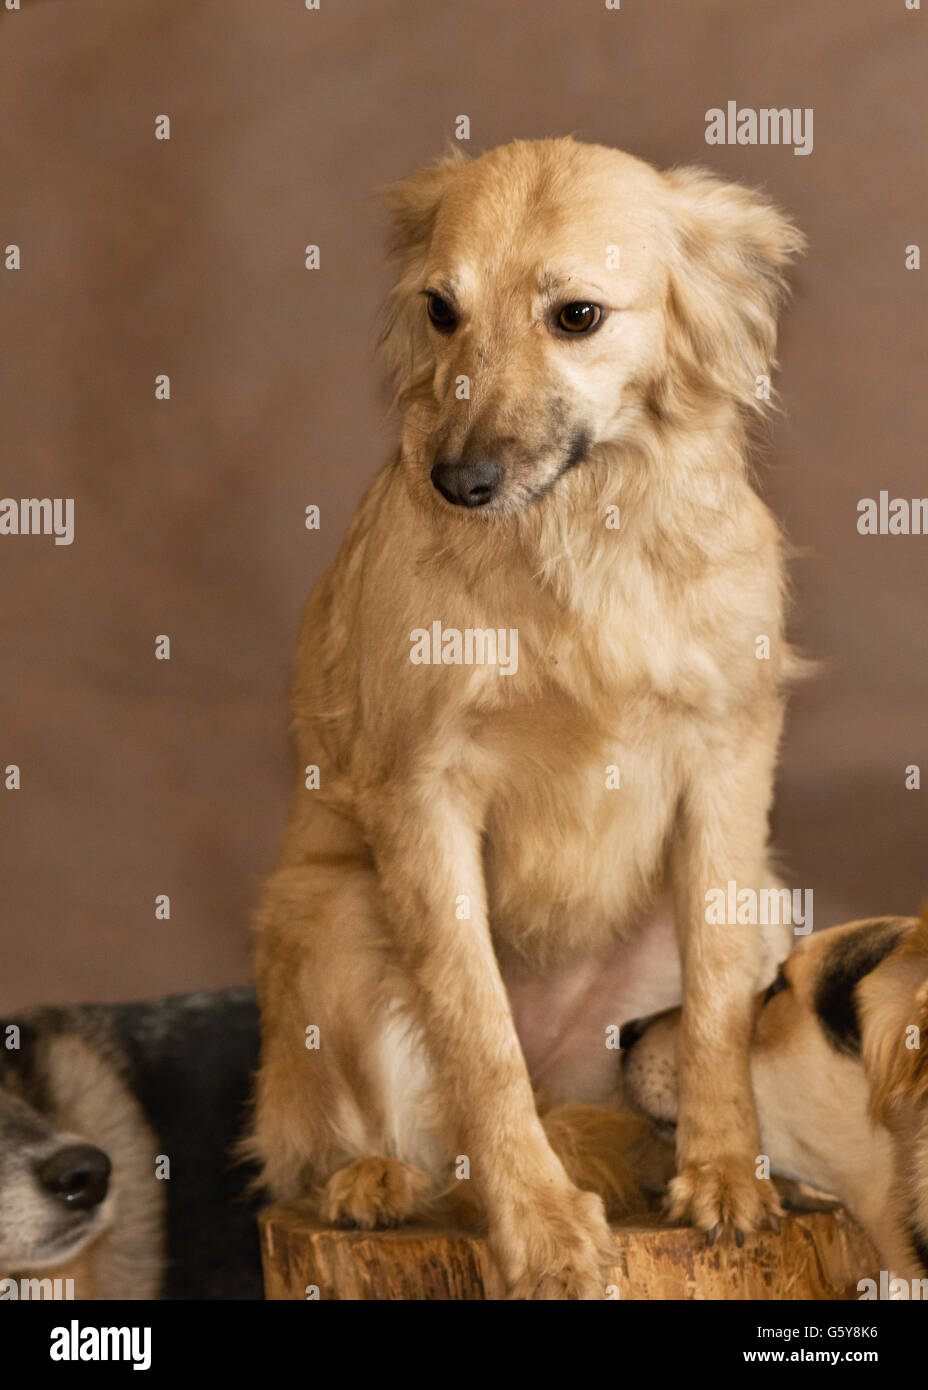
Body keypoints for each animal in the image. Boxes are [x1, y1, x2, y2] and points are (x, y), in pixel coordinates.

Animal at [248, 135, 805, 1295]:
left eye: (577, 315)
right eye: (441, 308)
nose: (457, 480)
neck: (580, 534)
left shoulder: (728, 762)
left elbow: (720, 999)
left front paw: (726, 1172)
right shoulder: (421, 799)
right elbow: (479, 1039)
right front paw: (539, 1224)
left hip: (767, 895)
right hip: (336, 912)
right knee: (381, 1137)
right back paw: (377, 1179)